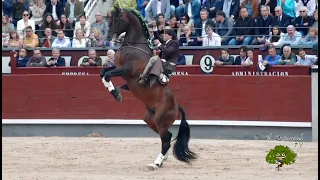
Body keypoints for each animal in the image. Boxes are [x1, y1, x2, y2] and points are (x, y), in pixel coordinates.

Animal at [100, 7, 196, 170]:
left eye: (117, 19)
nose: (108, 37)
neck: (135, 46)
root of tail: (177, 107)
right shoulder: (118, 68)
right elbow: (103, 73)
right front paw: (114, 91)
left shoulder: (126, 70)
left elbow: (107, 74)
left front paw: (116, 94)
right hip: (150, 119)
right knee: (168, 137)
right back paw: (162, 160)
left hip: (161, 120)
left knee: (166, 140)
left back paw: (156, 163)